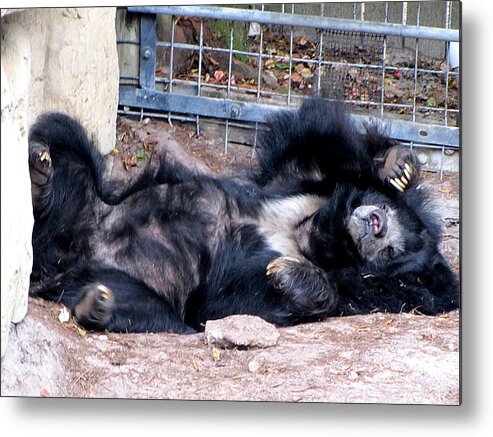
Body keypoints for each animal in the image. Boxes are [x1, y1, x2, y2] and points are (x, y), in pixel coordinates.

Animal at [26, 99, 458, 332]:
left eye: (392, 252)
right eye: (388, 209)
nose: (376, 224)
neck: (310, 234)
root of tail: (65, 258)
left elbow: (235, 302)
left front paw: (288, 274)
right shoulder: (293, 186)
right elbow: (310, 144)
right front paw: (396, 167)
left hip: (130, 283)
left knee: (148, 311)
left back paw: (96, 305)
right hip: (91, 203)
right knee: (65, 144)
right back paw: (39, 170)